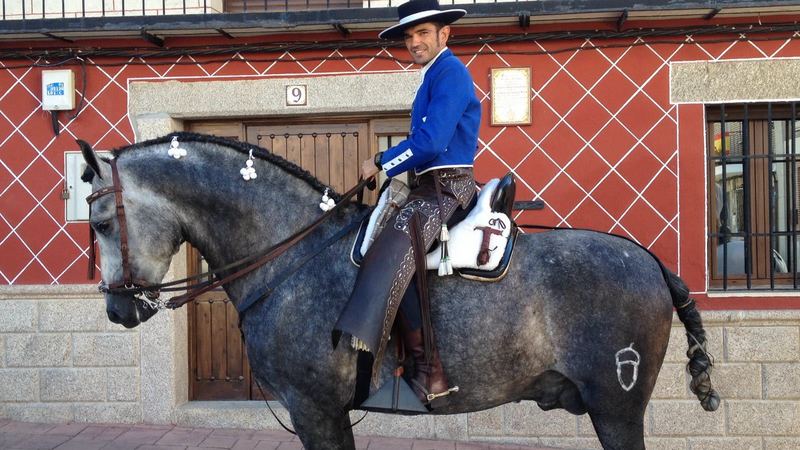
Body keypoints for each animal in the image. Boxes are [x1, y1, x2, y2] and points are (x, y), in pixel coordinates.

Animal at [79, 132, 719, 450]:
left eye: (102, 223)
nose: (117, 308)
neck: (292, 255)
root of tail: (652, 262)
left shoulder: (316, 410)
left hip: (617, 407)